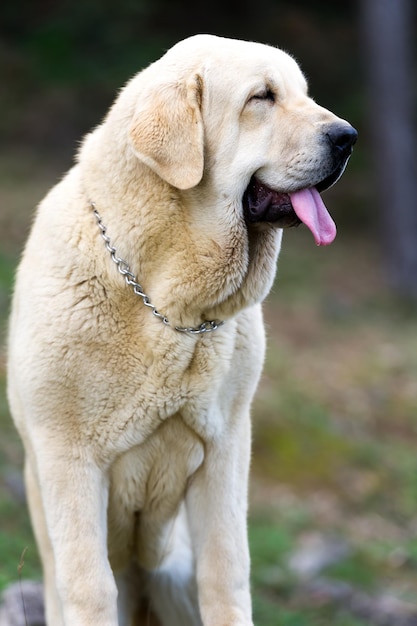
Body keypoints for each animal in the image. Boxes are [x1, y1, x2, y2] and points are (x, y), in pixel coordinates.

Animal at [6, 34, 356, 624]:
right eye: (262, 97)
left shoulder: (225, 451)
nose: (348, 138)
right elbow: (90, 587)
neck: (169, 305)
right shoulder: (66, 457)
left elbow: (226, 574)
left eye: (303, 94)